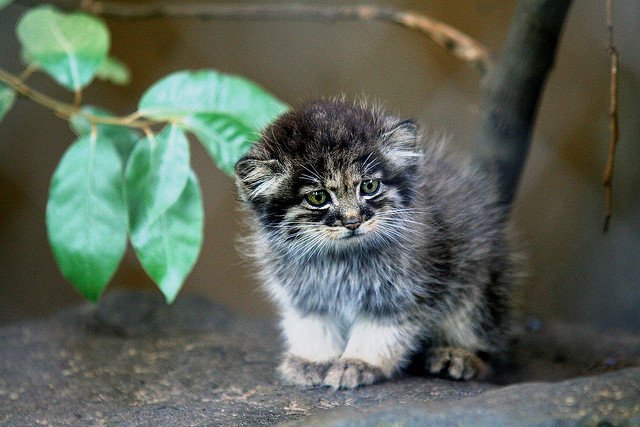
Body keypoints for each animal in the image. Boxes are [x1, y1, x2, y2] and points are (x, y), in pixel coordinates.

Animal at [235, 100, 520, 392]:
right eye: (318, 197)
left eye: (369, 186)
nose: (352, 221)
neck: (341, 261)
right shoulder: (306, 295)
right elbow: (313, 325)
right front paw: (312, 359)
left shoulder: (403, 293)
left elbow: (380, 332)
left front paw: (358, 364)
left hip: (478, 288)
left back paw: (458, 355)